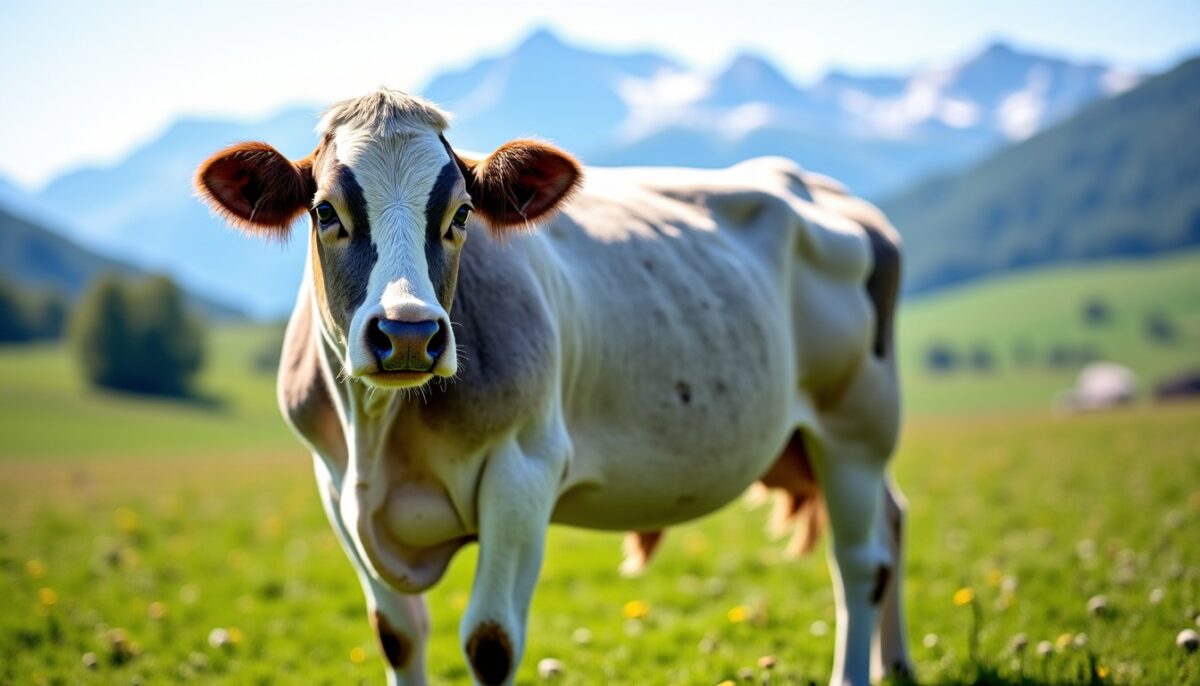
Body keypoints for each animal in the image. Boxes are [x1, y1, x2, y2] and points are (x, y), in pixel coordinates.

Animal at [194, 88, 911, 686]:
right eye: (325, 212)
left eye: (461, 214)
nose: (407, 332)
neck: (381, 433)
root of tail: (825, 189)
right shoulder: (334, 482)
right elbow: (398, 635)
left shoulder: (524, 469)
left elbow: (490, 642)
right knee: (894, 522)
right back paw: (897, 663)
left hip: (856, 427)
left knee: (860, 561)